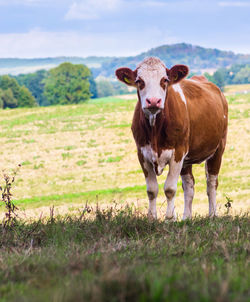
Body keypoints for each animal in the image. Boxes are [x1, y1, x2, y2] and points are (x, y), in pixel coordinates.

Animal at [115, 57, 229, 219]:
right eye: (139, 81)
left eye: (165, 80)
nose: (153, 101)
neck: (155, 130)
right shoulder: (142, 154)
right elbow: (152, 190)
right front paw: (153, 218)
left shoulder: (178, 153)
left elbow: (169, 188)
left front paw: (169, 218)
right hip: (187, 161)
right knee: (189, 185)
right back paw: (186, 217)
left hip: (218, 148)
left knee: (211, 183)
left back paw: (212, 215)